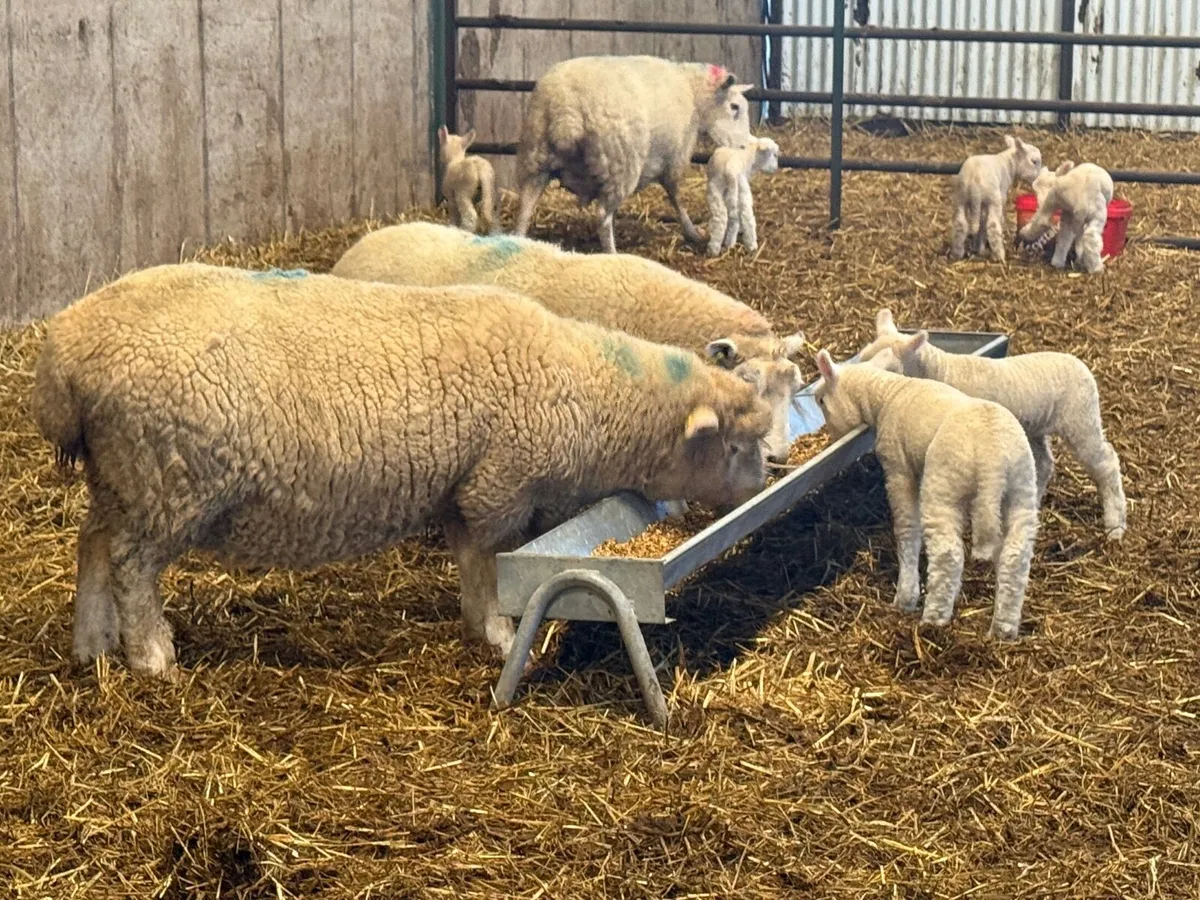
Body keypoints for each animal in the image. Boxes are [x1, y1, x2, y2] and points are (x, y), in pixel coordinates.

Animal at [32, 262, 774, 677]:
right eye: (738, 446)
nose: (765, 483)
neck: (588, 390)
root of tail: (65, 353)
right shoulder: (497, 486)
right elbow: (487, 565)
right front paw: (502, 635)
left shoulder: (462, 489)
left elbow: (469, 563)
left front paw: (481, 627)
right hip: (167, 478)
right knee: (131, 566)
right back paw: (150, 657)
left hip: (122, 477)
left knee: (92, 545)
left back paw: (91, 646)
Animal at [511, 55, 753, 253]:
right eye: (734, 107)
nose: (744, 145)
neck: (693, 93)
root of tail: (567, 111)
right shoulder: (675, 155)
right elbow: (675, 194)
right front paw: (692, 231)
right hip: (620, 162)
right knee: (603, 216)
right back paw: (612, 253)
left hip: (535, 158)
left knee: (524, 211)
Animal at [813, 347, 1039, 640]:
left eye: (820, 400)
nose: (829, 438)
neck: (887, 393)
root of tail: (994, 459)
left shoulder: (898, 469)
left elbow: (907, 529)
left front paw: (905, 596)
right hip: (1022, 486)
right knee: (1016, 557)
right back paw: (1003, 629)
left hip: (943, 485)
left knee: (948, 555)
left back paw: (933, 620)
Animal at [858, 309, 1127, 542]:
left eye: (890, 367)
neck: (941, 373)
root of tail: (1080, 364)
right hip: (1035, 427)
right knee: (1044, 464)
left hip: (1081, 419)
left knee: (1106, 463)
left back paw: (1115, 525)